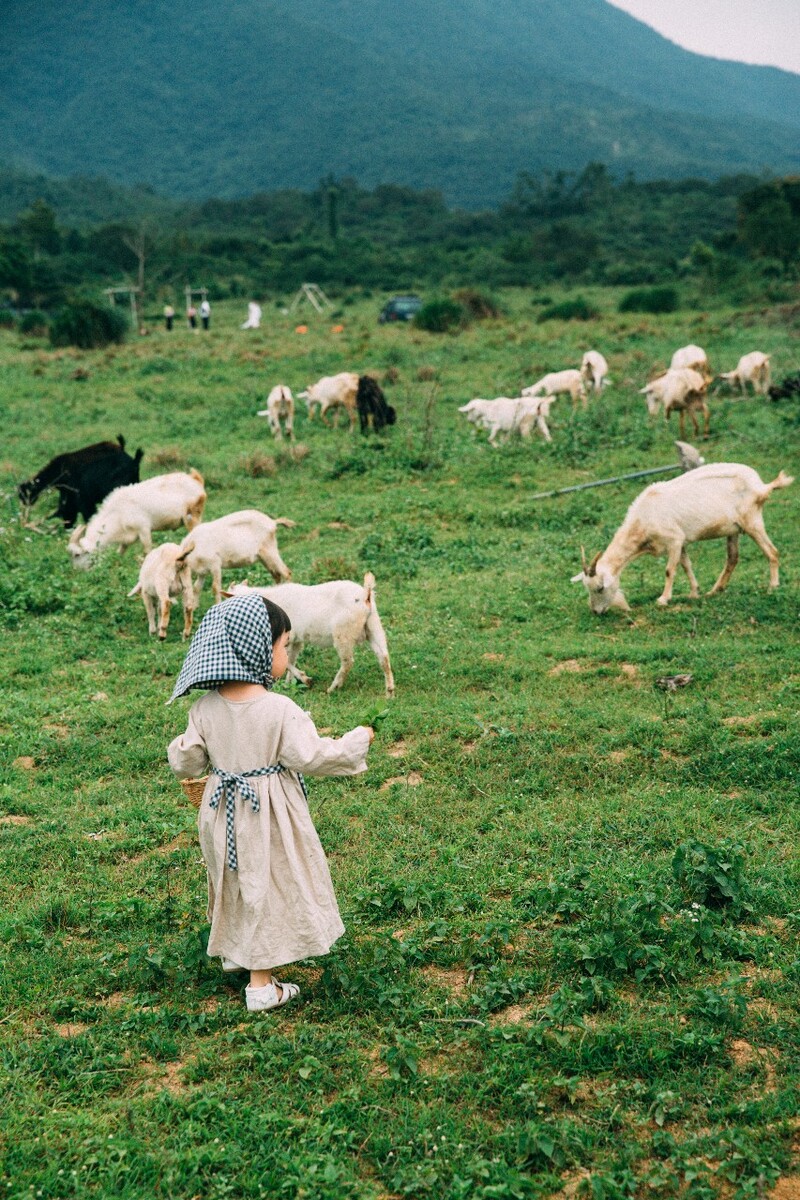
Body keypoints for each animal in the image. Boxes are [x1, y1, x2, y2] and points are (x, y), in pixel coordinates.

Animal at [68, 470, 206, 568]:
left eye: (77, 554)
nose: (77, 572)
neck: (119, 512)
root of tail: (195, 480)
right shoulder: (126, 538)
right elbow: (120, 552)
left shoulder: (143, 529)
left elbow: (147, 551)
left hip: (192, 516)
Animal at [226, 573, 395, 700]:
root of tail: (365, 593)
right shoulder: (295, 640)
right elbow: (291, 659)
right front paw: (289, 684)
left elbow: (285, 662)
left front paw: (305, 680)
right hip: (373, 626)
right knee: (384, 657)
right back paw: (389, 692)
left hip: (343, 634)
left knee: (348, 662)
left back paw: (333, 688)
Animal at [573, 458, 791, 609]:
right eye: (586, 587)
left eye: (600, 588)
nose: (596, 611)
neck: (644, 517)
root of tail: (761, 486)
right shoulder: (681, 542)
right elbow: (686, 565)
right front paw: (694, 593)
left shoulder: (674, 539)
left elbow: (670, 570)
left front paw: (663, 599)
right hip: (734, 529)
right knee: (733, 558)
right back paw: (714, 591)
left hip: (752, 521)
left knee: (772, 551)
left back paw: (772, 587)